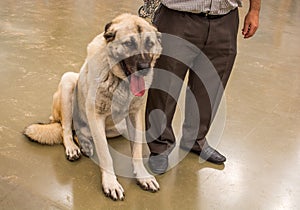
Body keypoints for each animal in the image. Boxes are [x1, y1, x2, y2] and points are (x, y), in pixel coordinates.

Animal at [24, 13, 162, 201]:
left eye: (149, 43)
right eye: (129, 43)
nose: (144, 69)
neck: (120, 82)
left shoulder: (135, 115)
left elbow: (137, 150)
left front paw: (142, 176)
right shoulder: (96, 116)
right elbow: (105, 155)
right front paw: (111, 183)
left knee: (80, 133)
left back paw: (85, 144)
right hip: (68, 81)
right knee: (66, 130)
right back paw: (74, 147)